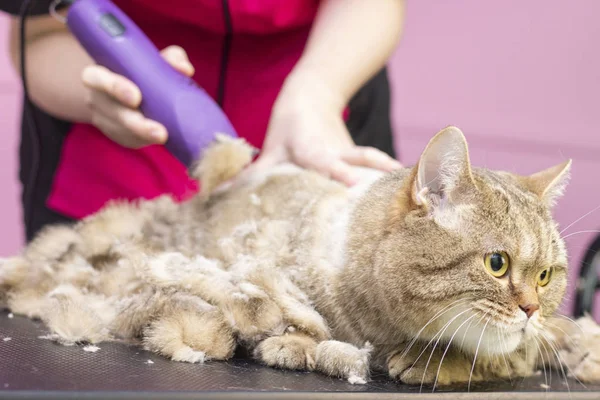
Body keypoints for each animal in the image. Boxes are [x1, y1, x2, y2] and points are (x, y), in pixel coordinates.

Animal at [1, 126, 600, 388]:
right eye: (497, 263)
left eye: (546, 276)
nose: (530, 310)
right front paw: (296, 343)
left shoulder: (524, 350)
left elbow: (498, 359)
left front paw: (440, 362)